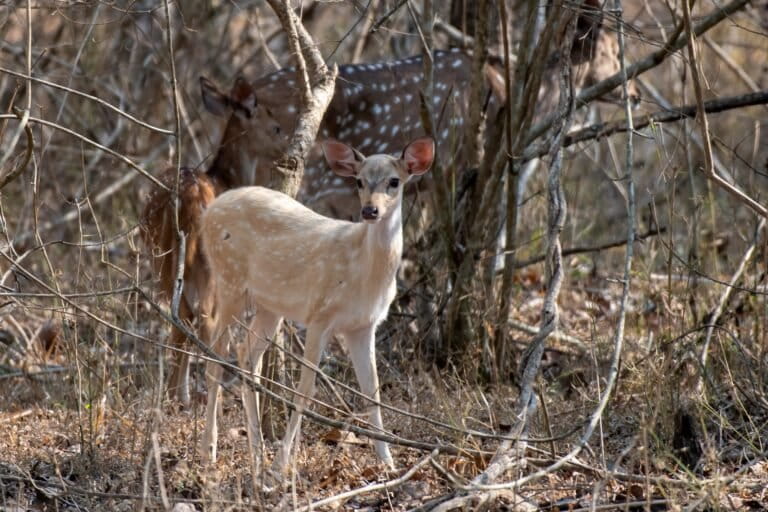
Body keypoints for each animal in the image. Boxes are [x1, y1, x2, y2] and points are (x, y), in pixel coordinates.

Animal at [198, 137, 435, 470]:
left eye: (394, 181)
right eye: (358, 181)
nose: (369, 210)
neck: (364, 273)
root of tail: (209, 211)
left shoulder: (363, 326)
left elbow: (372, 392)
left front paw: (388, 462)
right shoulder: (320, 314)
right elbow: (305, 391)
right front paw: (282, 464)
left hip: (270, 305)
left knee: (246, 353)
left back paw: (256, 451)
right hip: (228, 280)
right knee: (214, 358)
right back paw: (210, 450)